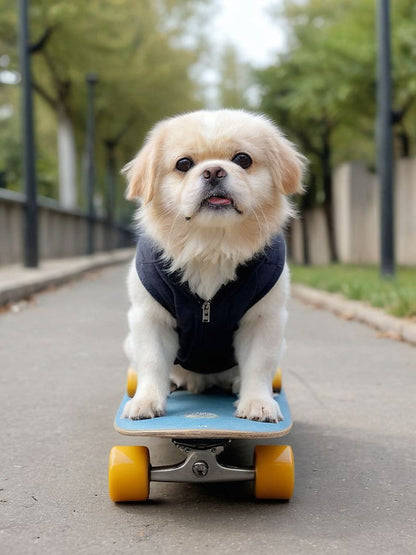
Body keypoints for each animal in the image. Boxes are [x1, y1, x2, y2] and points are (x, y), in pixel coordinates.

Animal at [120, 107, 306, 422]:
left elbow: (259, 363)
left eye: (243, 159)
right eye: (184, 164)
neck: (211, 245)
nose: (214, 171)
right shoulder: (149, 318)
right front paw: (146, 401)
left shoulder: (264, 319)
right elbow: (152, 361)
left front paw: (258, 403)